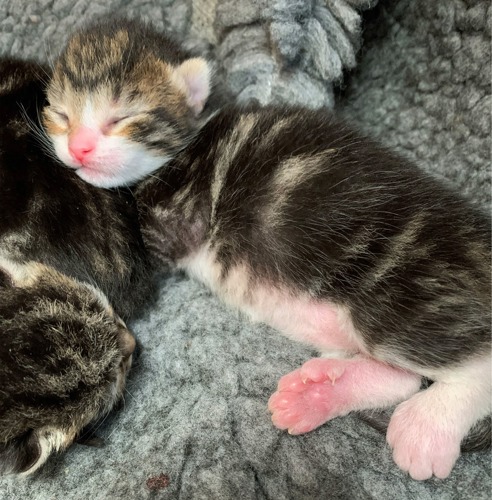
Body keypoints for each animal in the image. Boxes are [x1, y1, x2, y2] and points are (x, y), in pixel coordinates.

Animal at [44, 19, 490, 480]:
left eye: (121, 118)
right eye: (60, 115)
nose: (79, 147)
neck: (194, 136)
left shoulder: (179, 217)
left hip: (402, 297)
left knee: (473, 365)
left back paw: (425, 427)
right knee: (401, 378)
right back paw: (317, 395)